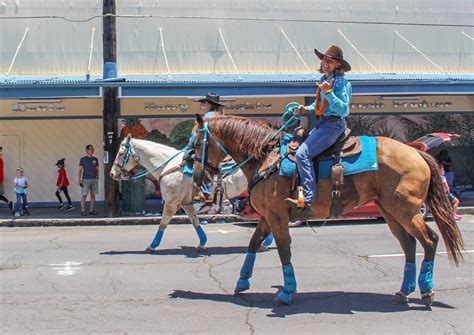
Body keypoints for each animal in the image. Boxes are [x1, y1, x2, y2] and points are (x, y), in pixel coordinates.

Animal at [109, 134, 246, 252]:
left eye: (121, 153)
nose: (112, 173)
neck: (168, 165)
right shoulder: (186, 203)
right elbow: (195, 221)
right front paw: (202, 243)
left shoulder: (171, 202)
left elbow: (163, 224)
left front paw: (152, 246)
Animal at [192, 115, 462, 308]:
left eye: (195, 144)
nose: (197, 176)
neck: (266, 159)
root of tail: (416, 151)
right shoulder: (268, 216)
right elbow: (253, 244)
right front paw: (242, 281)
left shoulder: (278, 216)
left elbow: (284, 250)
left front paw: (287, 291)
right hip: (390, 212)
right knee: (409, 245)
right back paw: (404, 292)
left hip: (406, 209)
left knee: (429, 239)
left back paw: (426, 291)